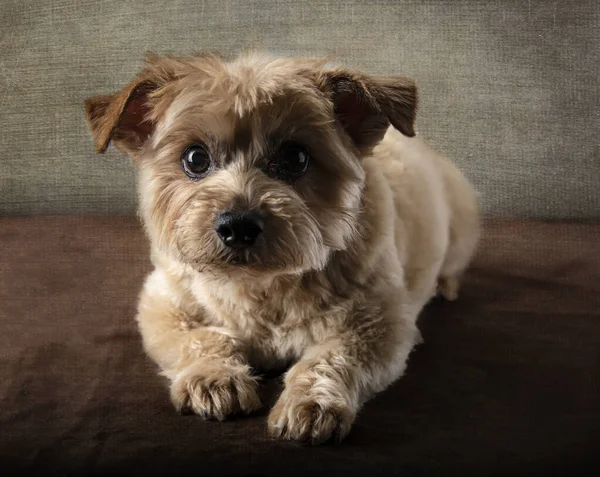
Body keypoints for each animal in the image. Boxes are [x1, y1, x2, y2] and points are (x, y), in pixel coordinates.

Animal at [83, 51, 478, 442]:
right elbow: (202, 338)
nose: (238, 225)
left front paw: (313, 402)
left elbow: (330, 358)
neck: (262, 287)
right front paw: (214, 378)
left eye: (295, 157)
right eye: (195, 158)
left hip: (461, 225)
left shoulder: (379, 325)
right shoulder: (164, 306)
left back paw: (446, 286)